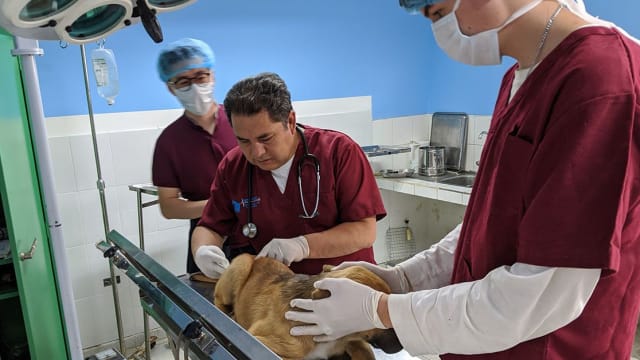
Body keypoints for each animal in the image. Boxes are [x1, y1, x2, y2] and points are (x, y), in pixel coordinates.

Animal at [216, 253, 404, 360]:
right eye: (379, 315)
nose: (403, 346)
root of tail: (257, 257)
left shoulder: (354, 341)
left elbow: (367, 352)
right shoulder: (260, 340)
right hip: (241, 264)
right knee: (218, 298)